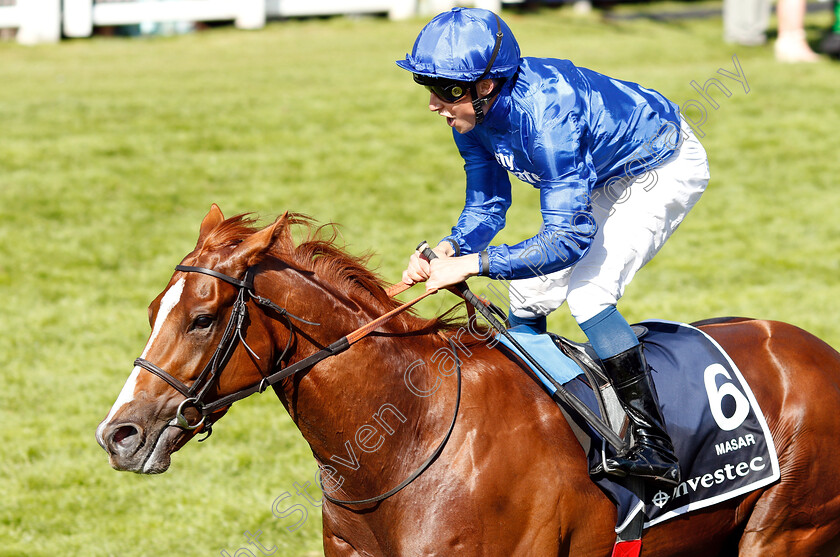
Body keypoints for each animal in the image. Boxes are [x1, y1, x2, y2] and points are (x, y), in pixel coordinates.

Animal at [98, 205, 840, 556]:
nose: (119, 434)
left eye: (201, 318)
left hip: (785, 533)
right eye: (153, 310)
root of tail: (820, 353)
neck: (404, 439)